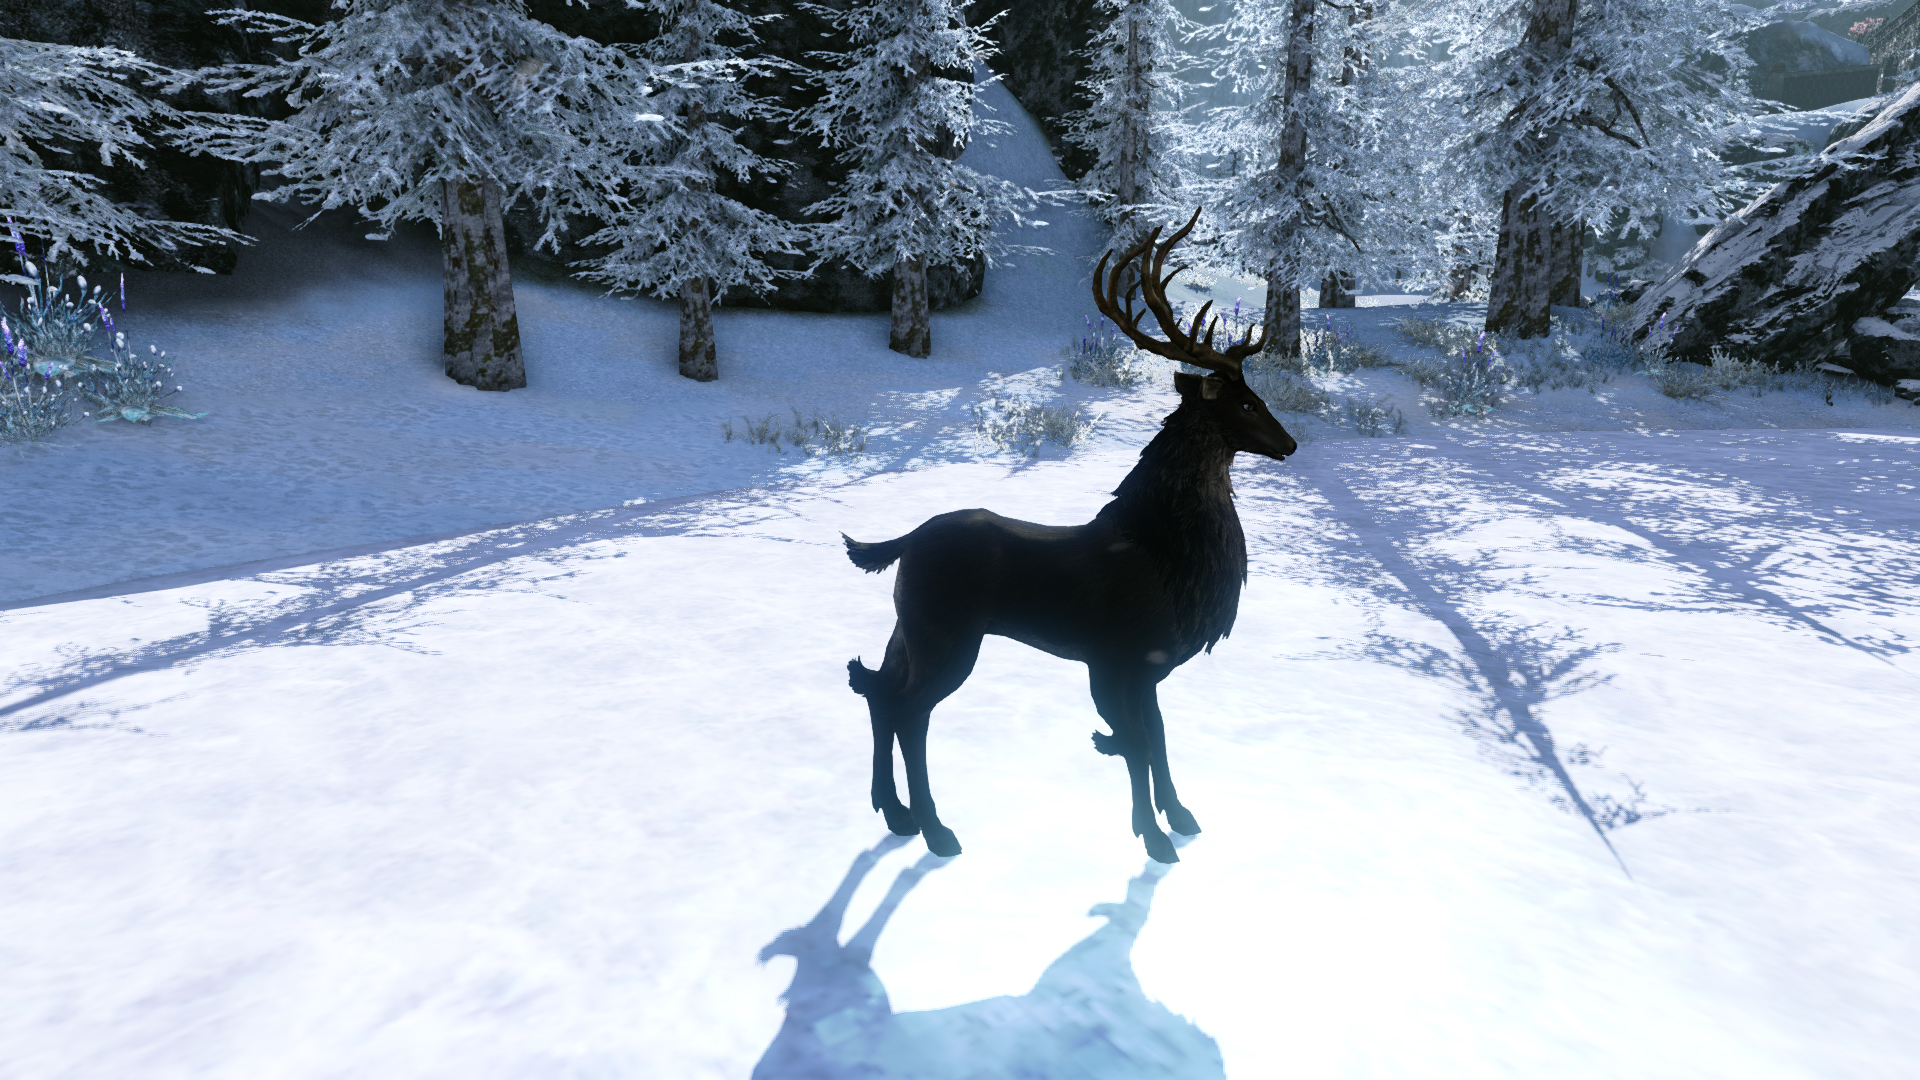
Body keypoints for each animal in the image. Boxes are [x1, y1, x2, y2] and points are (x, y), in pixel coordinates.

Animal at [841, 209, 1297, 864]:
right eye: (1245, 402)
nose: (1290, 443)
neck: (1173, 562)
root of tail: (900, 543)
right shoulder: (1112, 659)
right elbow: (1135, 743)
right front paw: (1153, 838)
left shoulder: (1148, 669)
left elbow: (1158, 737)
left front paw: (1180, 816)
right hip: (948, 633)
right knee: (908, 709)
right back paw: (936, 829)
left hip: (909, 626)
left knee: (876, 688)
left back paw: (896, 814)